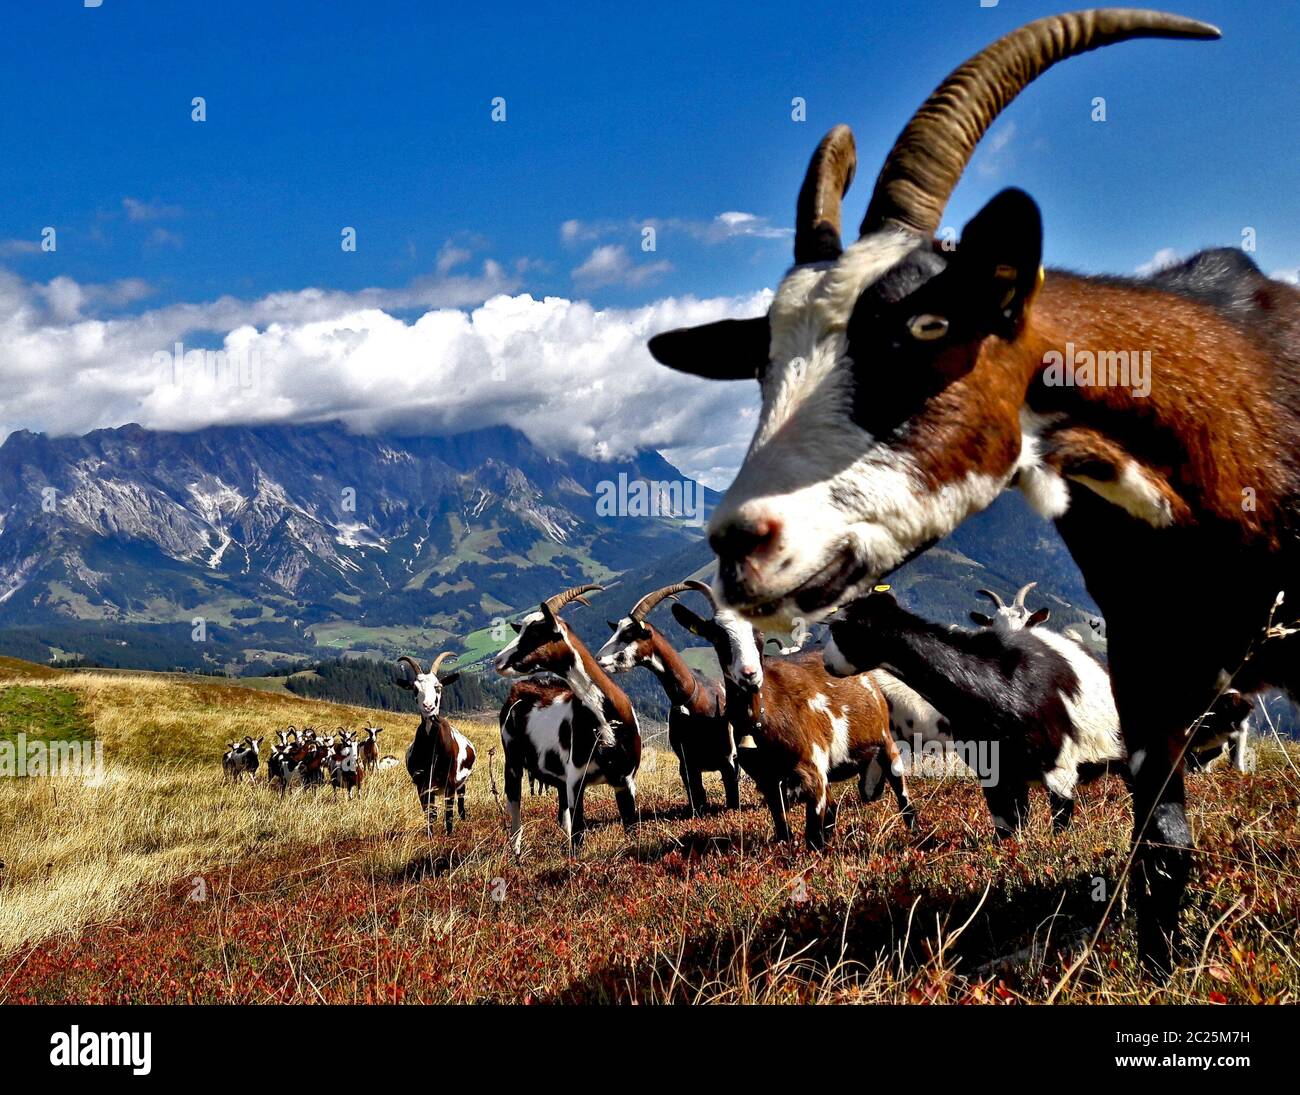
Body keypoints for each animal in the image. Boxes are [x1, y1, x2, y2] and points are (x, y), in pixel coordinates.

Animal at [397, 652, 480, 832]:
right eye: (415, 689)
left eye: (438, 687)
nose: (428, 707)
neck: (433, 750)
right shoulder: (422, 785)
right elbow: (430, 814)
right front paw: (430, 834)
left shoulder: (451, 782)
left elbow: (448, 814)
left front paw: (449, 834)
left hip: (462, 782)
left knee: (461, 803)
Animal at [493, 585, 642, 847]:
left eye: (535, 632)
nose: (498, 660)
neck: (606, 719)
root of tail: (517, 689)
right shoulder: (576, 779)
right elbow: (579, 833)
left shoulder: (625, 780)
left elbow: (630, 827)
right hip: (512, 761)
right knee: (515, 809)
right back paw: (516, 853)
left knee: (561, 817)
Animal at [595, 580, 738, 811]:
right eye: (616, 630)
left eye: (629, 634)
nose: (599, 659)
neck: (695, 700)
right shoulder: (687, 764)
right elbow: (697, 799)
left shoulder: (728, 760)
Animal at [670, 580, 915, 842]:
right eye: (718, 635)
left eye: (760, 632)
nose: (749, 674)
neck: (763, 715)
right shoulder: (767, 778)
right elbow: (782, 830)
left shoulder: (813, 769)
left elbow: (813, 836)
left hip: (884, 740)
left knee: (902, 794)